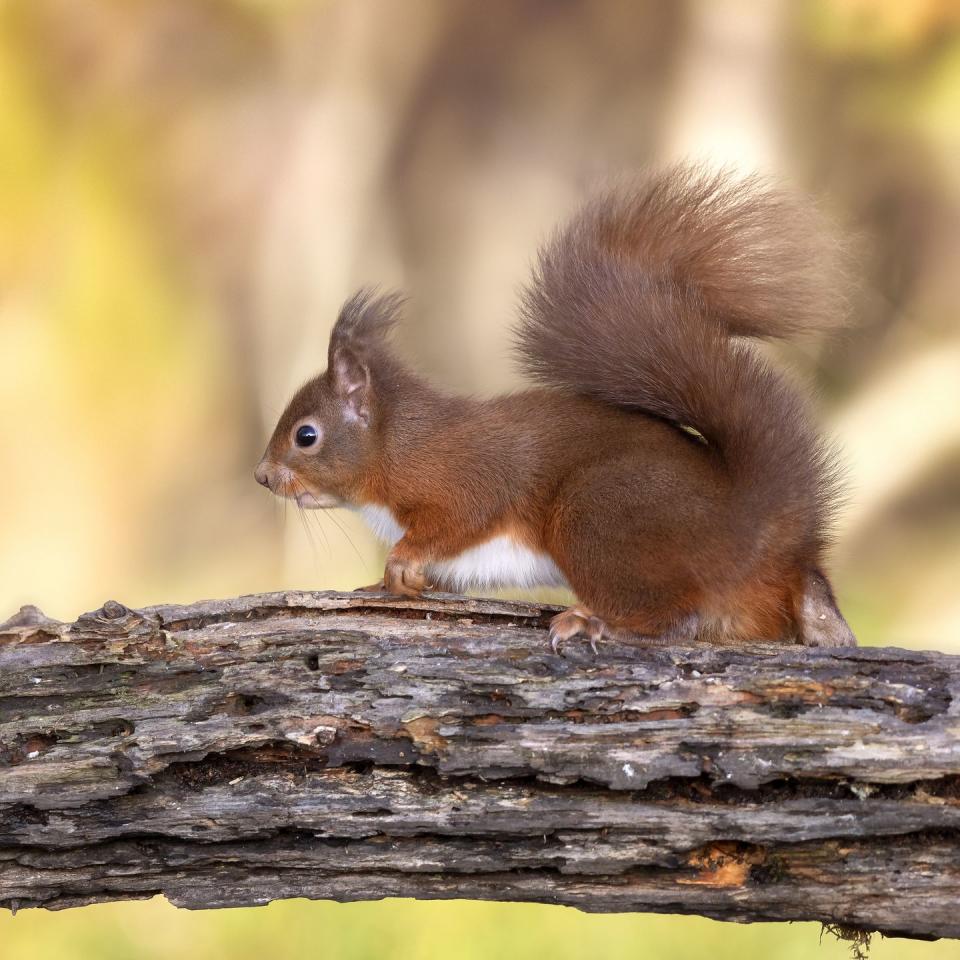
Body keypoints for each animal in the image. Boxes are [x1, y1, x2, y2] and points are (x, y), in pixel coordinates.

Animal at [253, 167, 856, 652]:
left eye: (306, 436)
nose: (262, 476)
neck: (397, 445)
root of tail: (758, 530)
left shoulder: (462, 475)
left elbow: (461, 517)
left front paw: (401, 560)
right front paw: (385, 585)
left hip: (599, 517)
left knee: (679, 617)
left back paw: (599, 624)